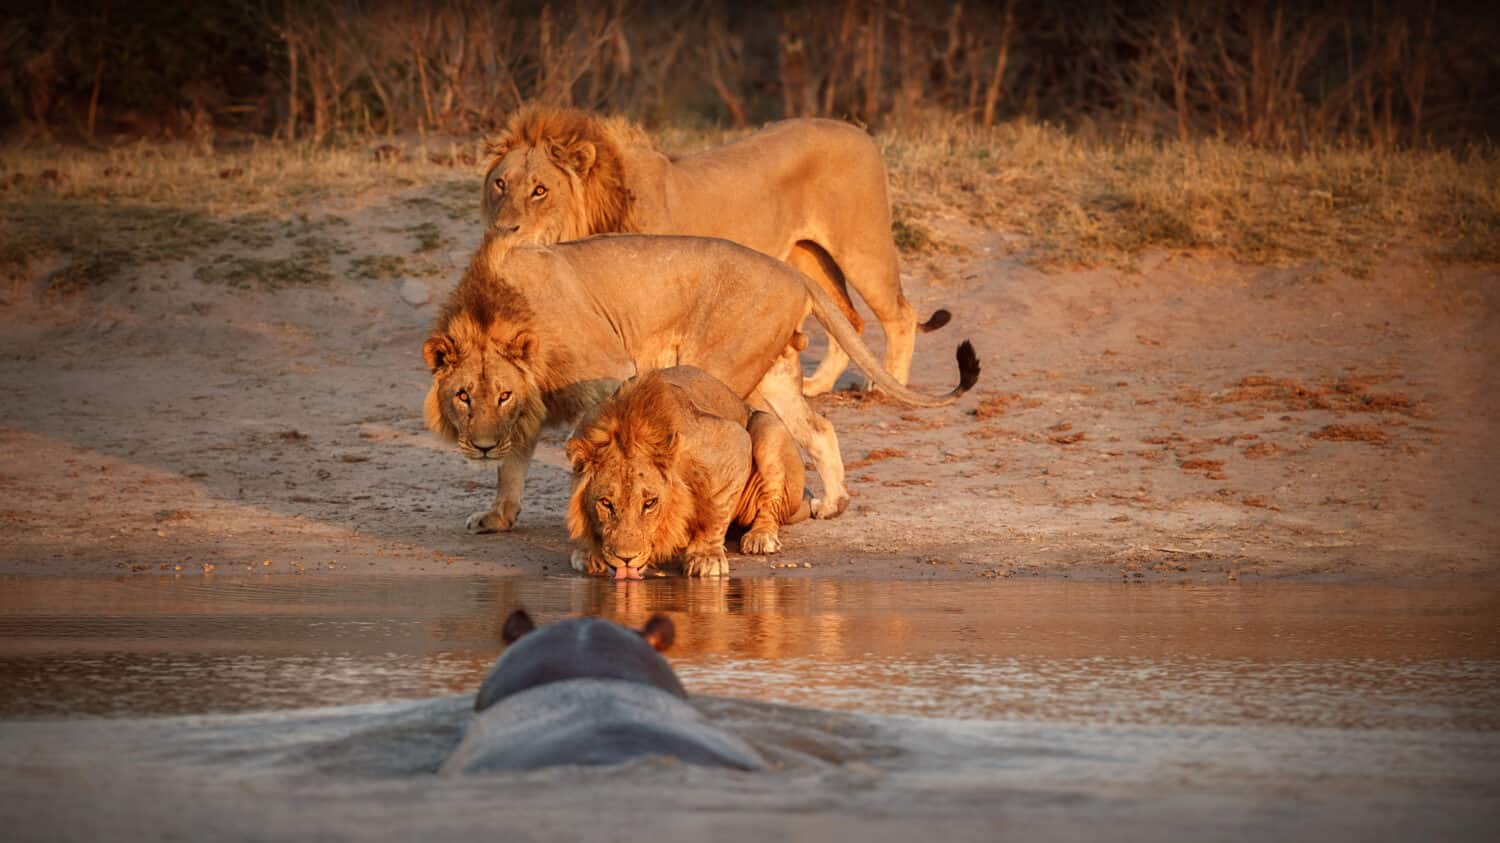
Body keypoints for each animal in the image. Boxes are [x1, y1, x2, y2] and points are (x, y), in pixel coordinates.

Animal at [422, 231, 979, 534]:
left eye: (503, 394)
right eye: (463, 396)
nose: (481, 446)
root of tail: (794, 272)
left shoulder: (607, 373)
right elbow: (512, 467)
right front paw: (498, 516)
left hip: (718, 367)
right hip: (771, 375)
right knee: (818, 429)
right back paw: (833, 504)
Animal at [479, 105, 950, 397]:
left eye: (540, 190)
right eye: (500, 183)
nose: (502, 229)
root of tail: (860, 132)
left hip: (862, 248)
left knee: (899, 314)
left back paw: (885, 385)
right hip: (809, 256)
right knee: (848, 318)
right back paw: (817, 386)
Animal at [566, 366, 810, 580]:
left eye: (650, 503)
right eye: (606, 503)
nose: (626, 559)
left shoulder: (733, 443)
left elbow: (715, 510)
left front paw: (706, 557)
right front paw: (589, 553)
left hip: (767, 428)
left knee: (770, 505)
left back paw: (760, 537)